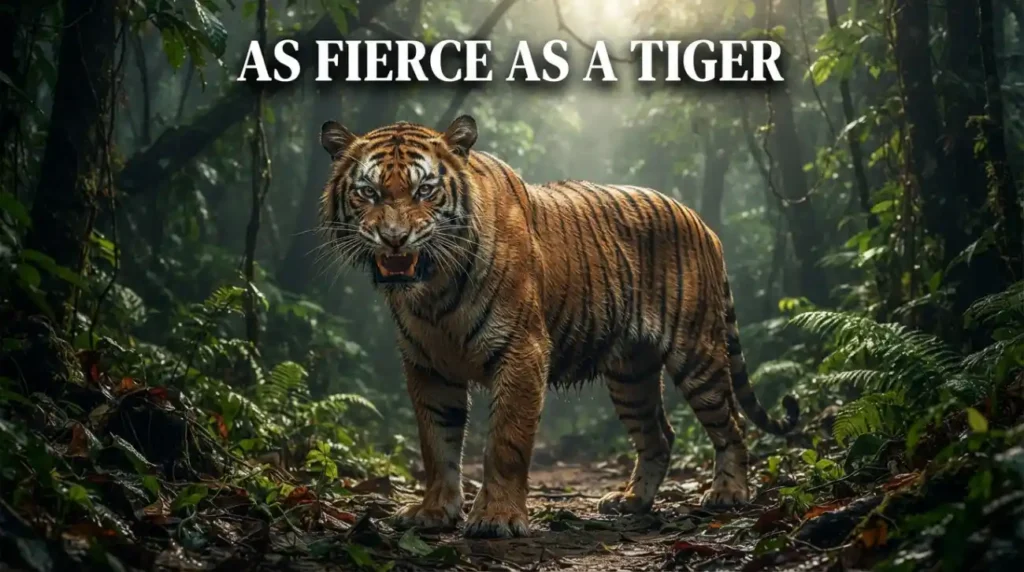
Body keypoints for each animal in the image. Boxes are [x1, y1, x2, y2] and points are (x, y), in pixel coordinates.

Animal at [316, 115, 799, 539]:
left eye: (425, 190)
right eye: (368, 192)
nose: (394, 238)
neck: (434, 287)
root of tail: (702, 223)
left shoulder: (521, 349)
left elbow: (505, 443)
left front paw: (496, 518)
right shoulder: (427, 365)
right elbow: (436, 443)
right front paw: (434, 512)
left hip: (697, 354)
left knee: (731, 425)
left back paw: (728, 493)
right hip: (631, 374)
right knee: (659, 435)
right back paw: (631, 501)